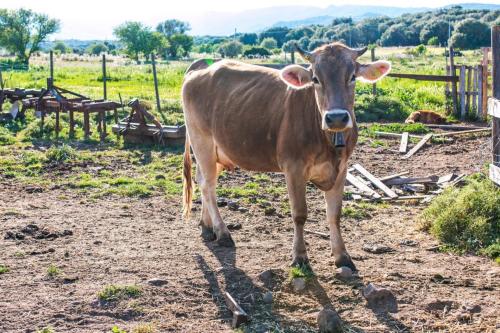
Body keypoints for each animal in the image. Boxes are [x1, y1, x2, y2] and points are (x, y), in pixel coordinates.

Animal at [183, 42, 390, 270]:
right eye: (315, 79)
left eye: (352, 76)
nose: (336, 118)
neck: (328, 142)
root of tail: (201, 67)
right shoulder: (293, 168)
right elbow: (299, 214)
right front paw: (299, 256)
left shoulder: (342, 168)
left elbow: (334, 215)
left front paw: (342, 256)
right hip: (201, 141)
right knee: (208, 185)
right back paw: (222, 232)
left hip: (217, 151)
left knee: (202, 180)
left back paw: (207, 226)